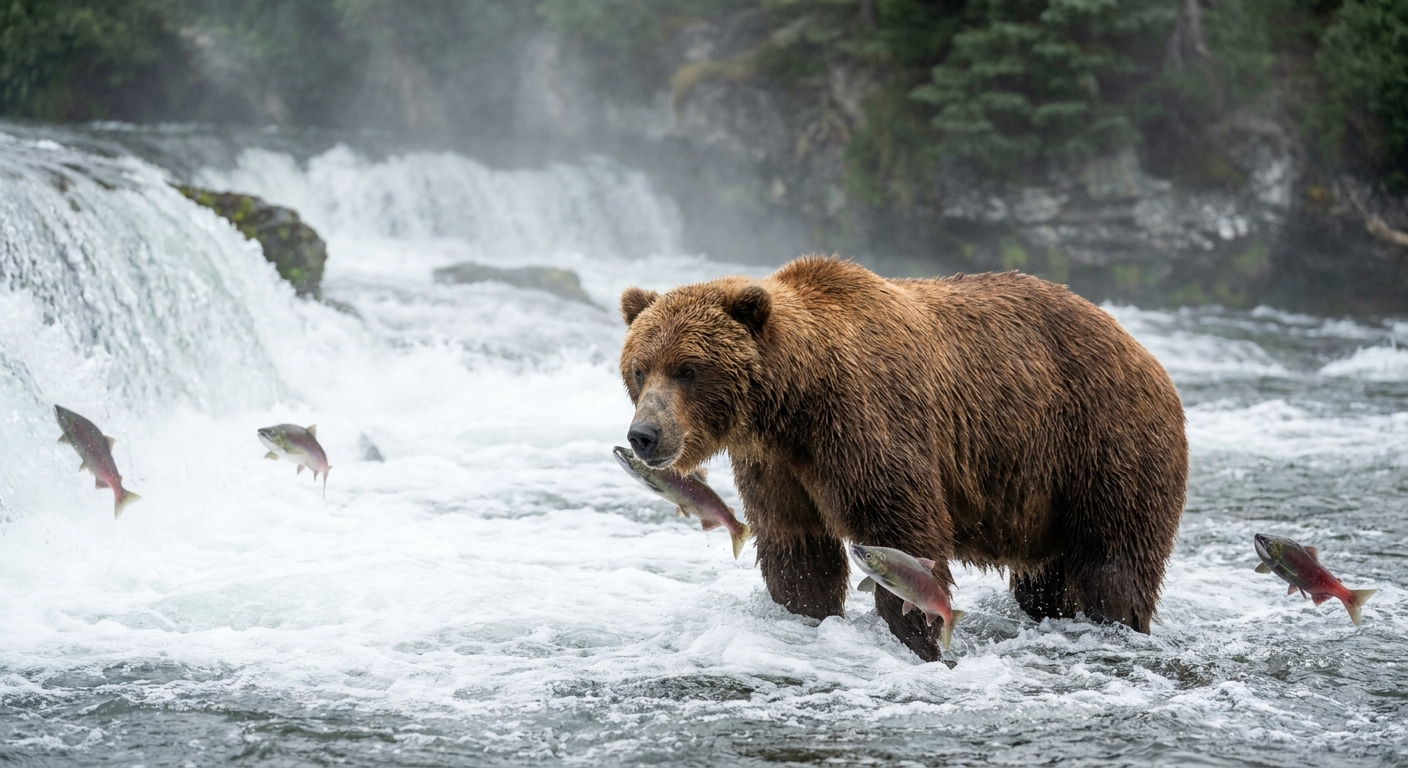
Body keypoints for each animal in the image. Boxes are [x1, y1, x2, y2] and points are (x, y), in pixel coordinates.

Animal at [617, 257, 1187, 661]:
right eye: (640, 368)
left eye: (688, 368)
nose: (643, 434)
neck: (795, 404)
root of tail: (1143, 351)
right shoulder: (776, 465)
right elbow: (798, 550)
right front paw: (807, 612)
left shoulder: (869, 421)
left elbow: (903, 530)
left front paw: (919, 639)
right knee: (1045, 584)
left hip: (1102, 443)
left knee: (1113, 565)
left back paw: (1116, 625)